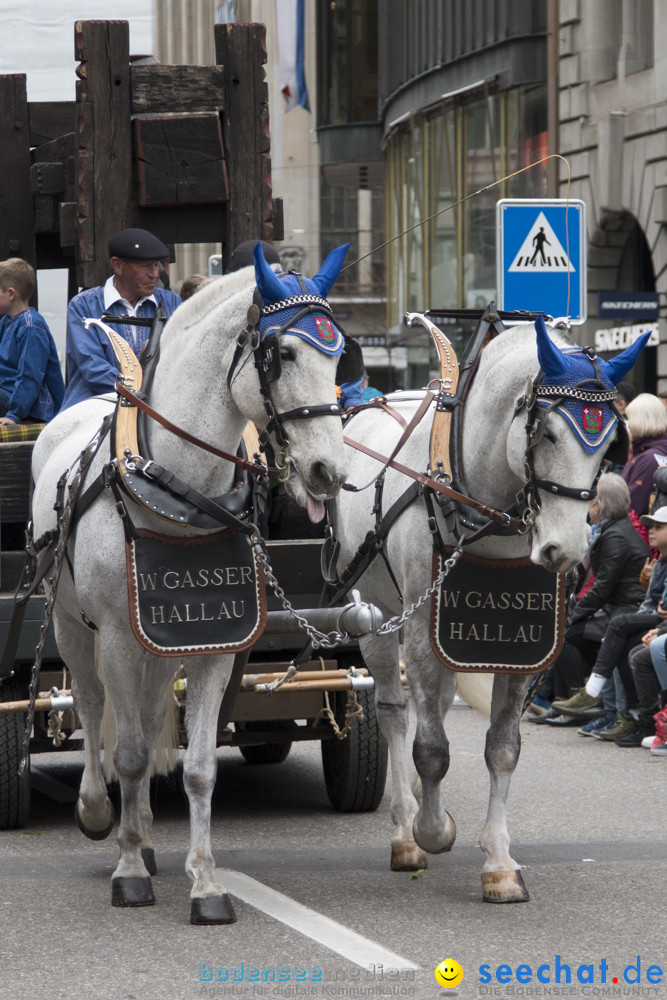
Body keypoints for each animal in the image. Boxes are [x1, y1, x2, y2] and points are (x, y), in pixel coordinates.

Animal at [32, 238, 352, 924]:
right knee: (92, 704)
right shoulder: (118, 638)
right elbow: (126, 751)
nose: (329, 471)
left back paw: (146, 831)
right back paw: (102, 814)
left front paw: (205, 883)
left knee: (152, 711)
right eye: (282, 354)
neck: (177, 488)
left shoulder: (215, 641)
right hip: (73, 624)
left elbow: (200, 765)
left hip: (160, 642)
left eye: (340, 351)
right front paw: (129, 870)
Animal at [332, 314, 648, 908]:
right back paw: (405, 831)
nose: (567, 550)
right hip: (377, 619)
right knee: (394, 712)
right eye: (547, 433)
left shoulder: (520, 646)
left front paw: (499, 864)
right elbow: (431, 749)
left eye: (608, 447)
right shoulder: (422, 630)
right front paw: (433, 832)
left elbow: (502, 750)